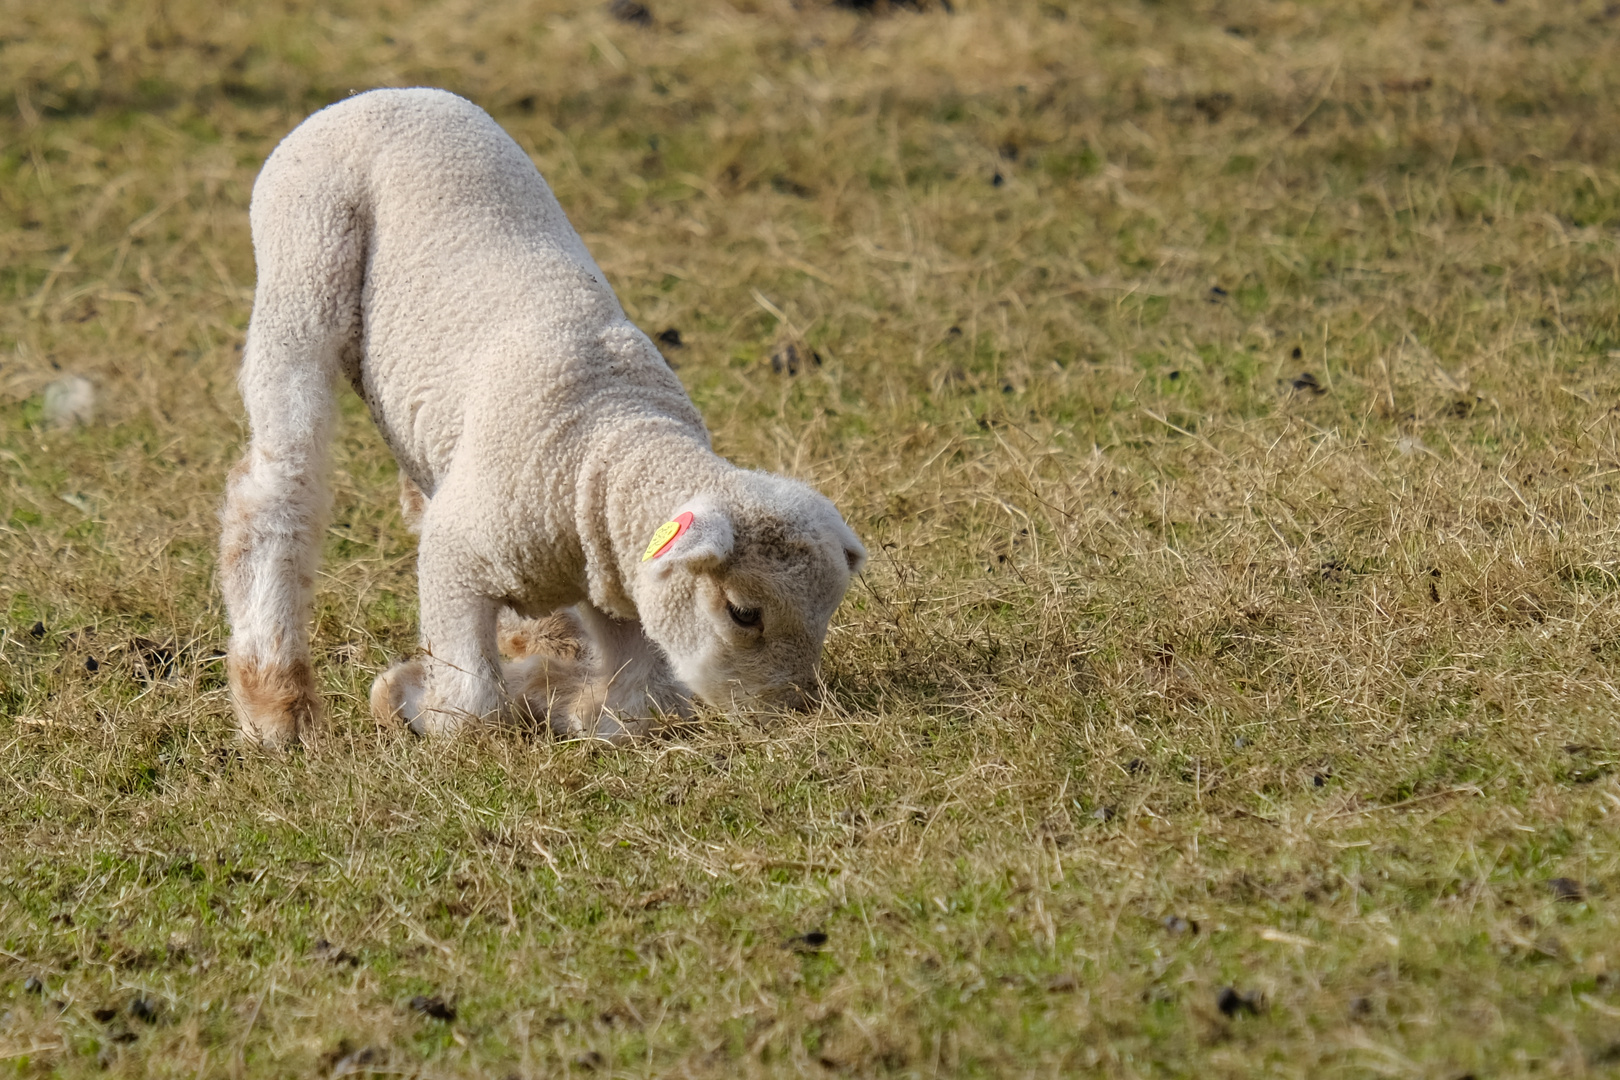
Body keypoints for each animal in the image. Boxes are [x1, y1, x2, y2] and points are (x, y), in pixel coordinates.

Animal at [225, 88, 874, 748]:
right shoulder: (455, 559)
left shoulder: (618, 579)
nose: (790, 711)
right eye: (744, 613)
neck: (605, 445)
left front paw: (556, 695)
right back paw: (277, 706)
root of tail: (383, 94)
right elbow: (474, 707)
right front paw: (416, 702)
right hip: (303, 267)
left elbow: (634, 708)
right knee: (276, 490)